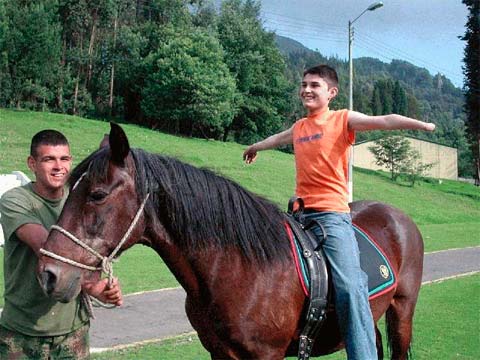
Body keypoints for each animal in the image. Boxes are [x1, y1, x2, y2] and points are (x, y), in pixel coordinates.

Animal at [36, 123, 424, 358]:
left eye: (98, 195)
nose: (48, 274)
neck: (240, 269)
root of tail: (398, 216)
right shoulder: (218, 351)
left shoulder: (266, 355)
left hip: (402, 310)